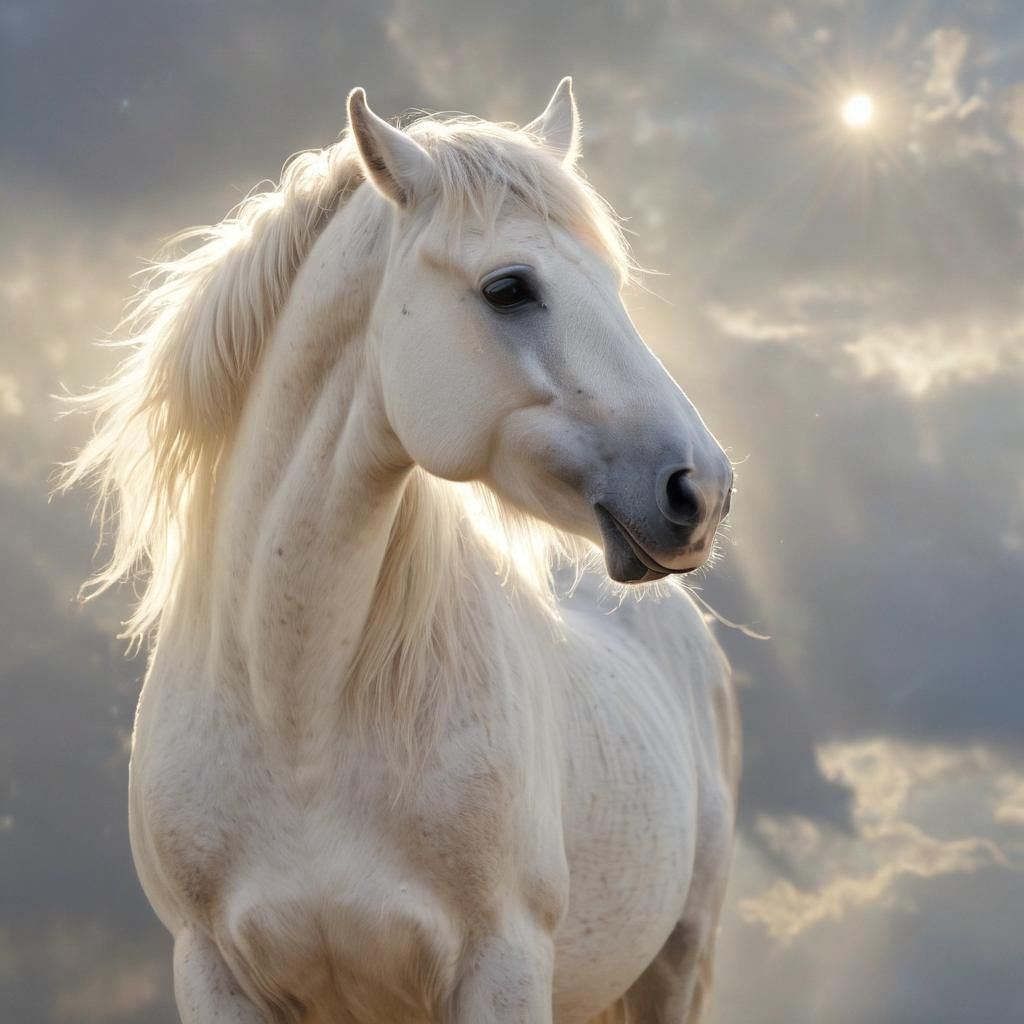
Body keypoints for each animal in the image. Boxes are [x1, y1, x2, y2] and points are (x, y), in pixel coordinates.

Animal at [66, 78, 740, 1024]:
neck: (300, 723)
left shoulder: (502, 965)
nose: (701, 490)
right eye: (508, 287)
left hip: (676, 962)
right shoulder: (211, 971)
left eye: (613, 284)